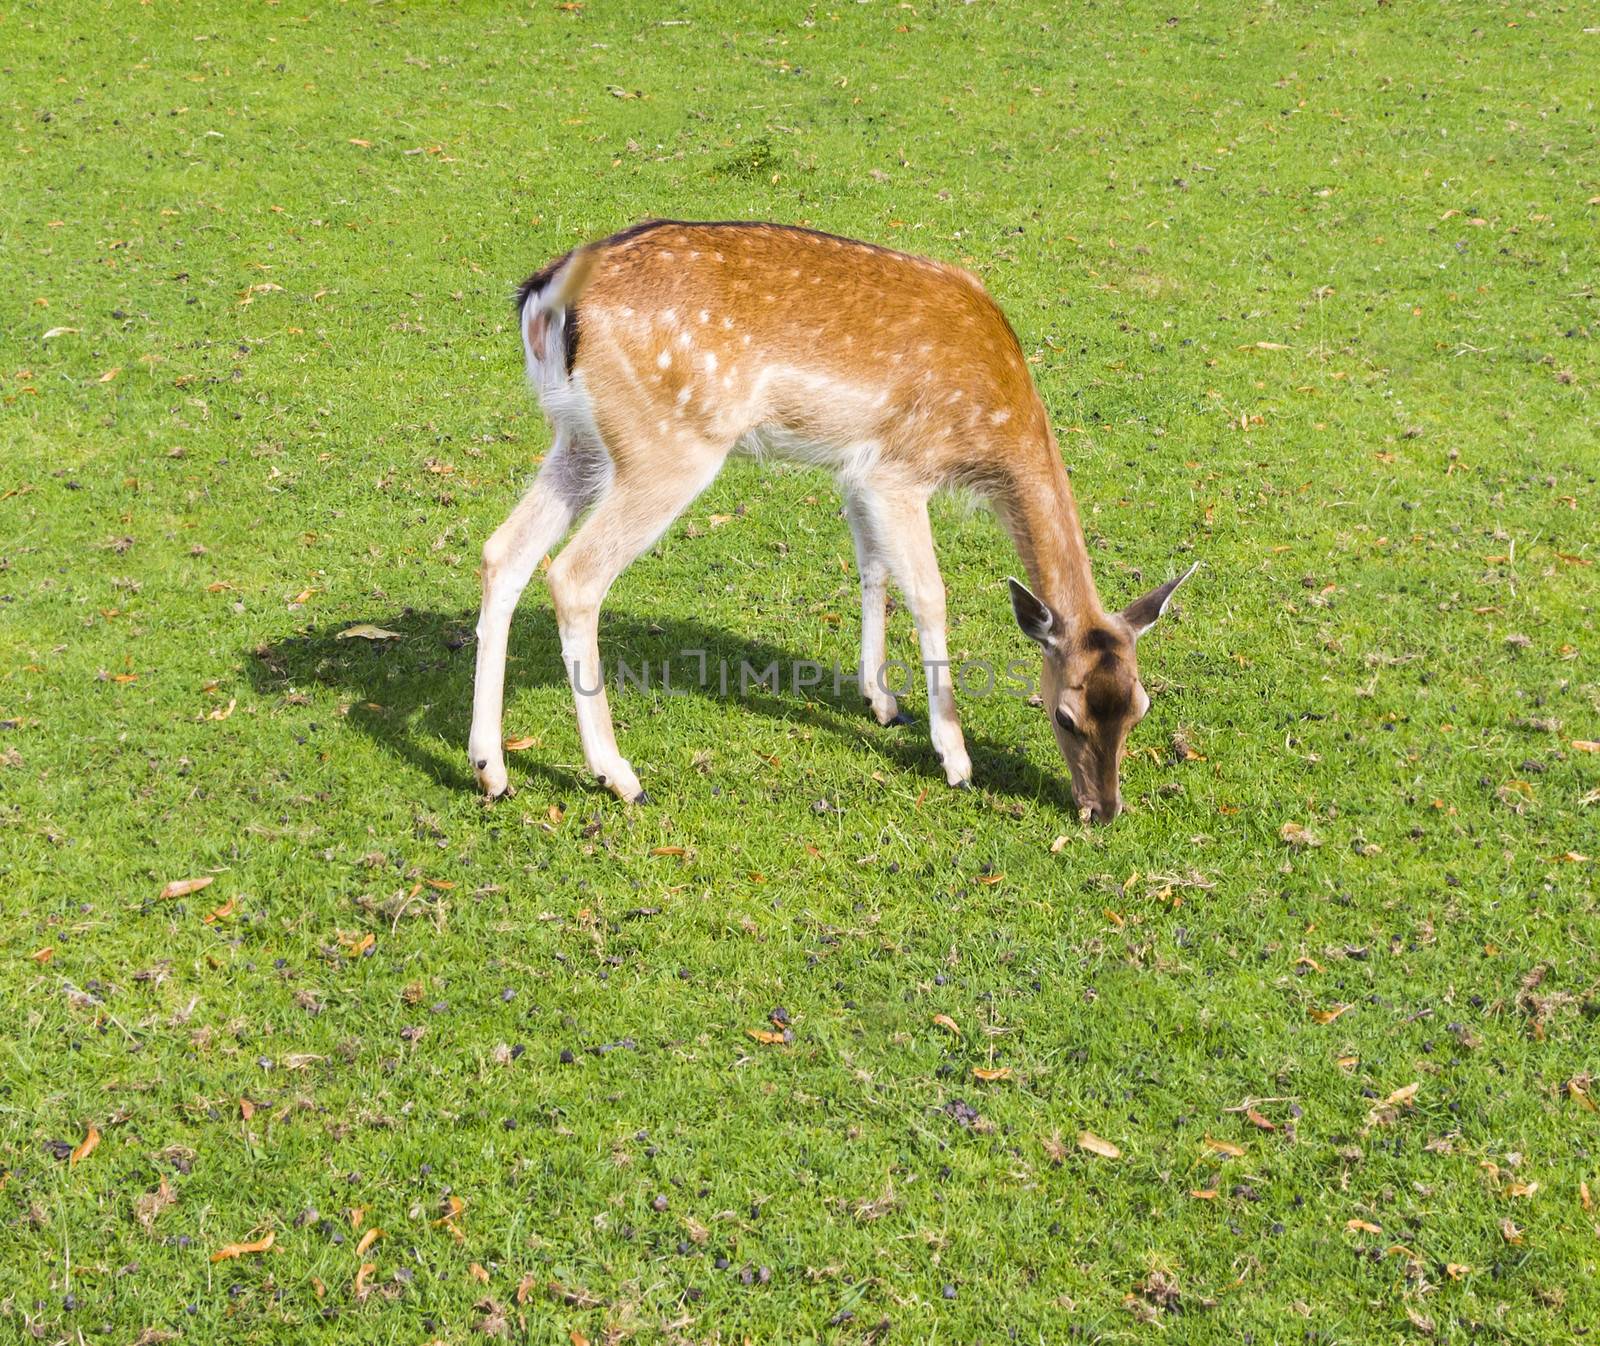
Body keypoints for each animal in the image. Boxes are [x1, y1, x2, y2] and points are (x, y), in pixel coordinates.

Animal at [467, 220, 1196, 819]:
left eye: (1140, 707)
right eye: (1066, 715)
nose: (1104, 810)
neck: (994, 426)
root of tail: (544, 298)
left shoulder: (856, 471)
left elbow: (873, 569)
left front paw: (881, 702)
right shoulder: (900, 470)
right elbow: (928, 593)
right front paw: (955, 758)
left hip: (579, 441)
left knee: (504, 551)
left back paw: (491, 770)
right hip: (667, 445)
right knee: (573, 575)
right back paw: (618, 776)